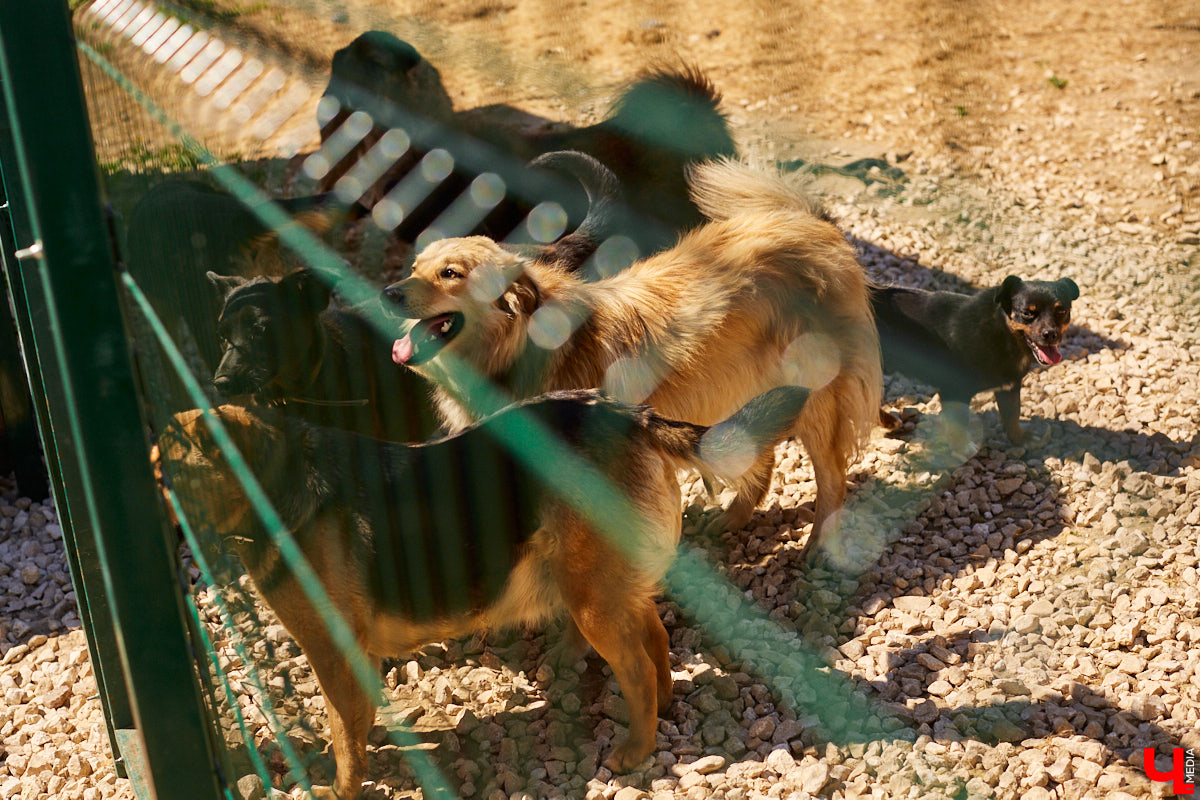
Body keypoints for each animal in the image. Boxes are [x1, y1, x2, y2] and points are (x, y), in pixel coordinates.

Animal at [150, 383, 806, 796]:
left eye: (171, 474)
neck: (275, 485)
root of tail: (628, 415)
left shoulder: (331, 651)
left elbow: (342, 733)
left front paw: (343, 788)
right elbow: (357, 723)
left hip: (591, 601)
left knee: (639, 668)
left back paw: (635, 751)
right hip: (608, 585)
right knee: (656, 640)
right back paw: (664, 709)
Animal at [384, 159, 883, 561]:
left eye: (452, 274)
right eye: (415, 268)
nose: (388, 294)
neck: (522, 346)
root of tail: (812, 225)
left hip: (816, 393)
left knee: (832, 476)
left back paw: (819, 545)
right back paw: (732, 519)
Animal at [868, 277, 1084, 443]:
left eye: (1062, 311)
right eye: (1027, 313)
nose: (1051, 334)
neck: (1002, 333)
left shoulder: (1009, 388)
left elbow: (1012, 416)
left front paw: (1020, 439)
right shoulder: (955, 392)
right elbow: (958, 431)